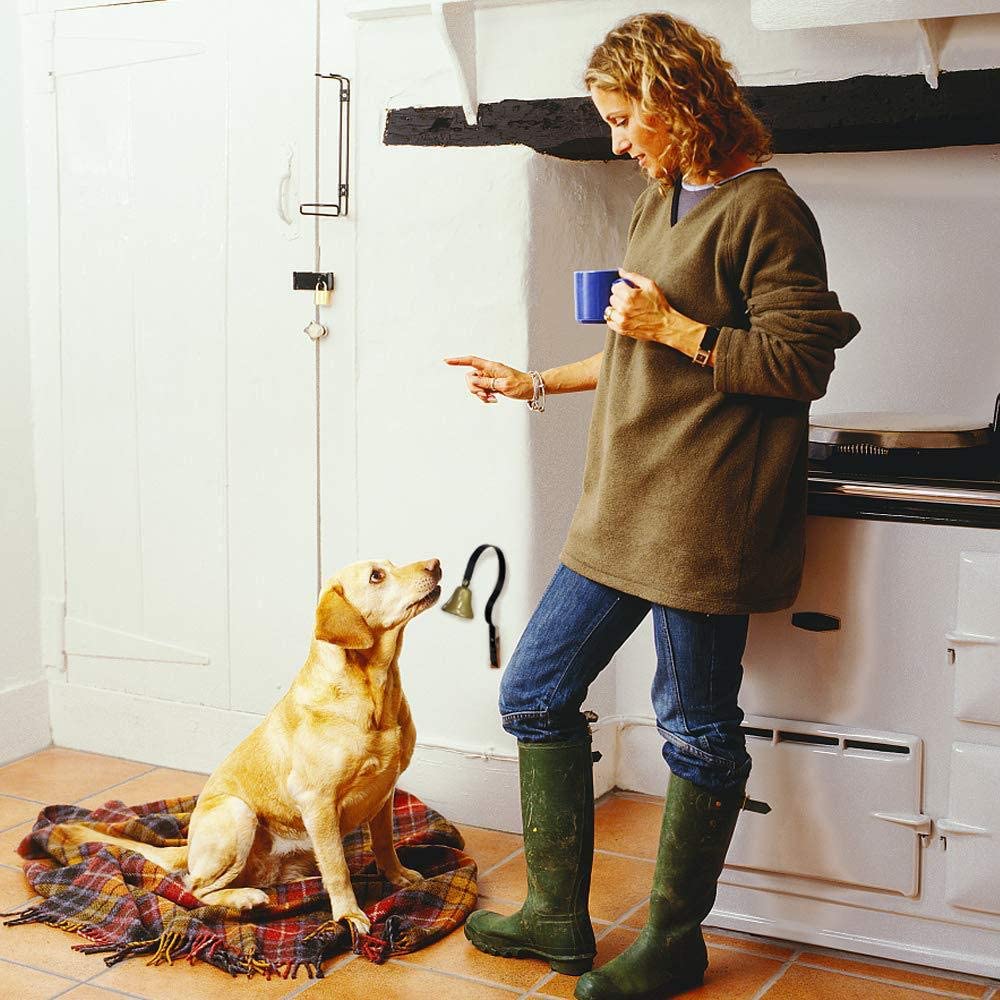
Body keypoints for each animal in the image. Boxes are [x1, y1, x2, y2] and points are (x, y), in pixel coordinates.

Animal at [59, 556, 442, 936]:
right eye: (377, 576)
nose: (436, 563)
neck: (374, 692)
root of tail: (189, 848)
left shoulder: (384, 792)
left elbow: (384, 843)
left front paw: (397, 876)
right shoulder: (316, 800)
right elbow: (338, 868)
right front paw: (348, 915)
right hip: (237, 812)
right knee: (194, 888)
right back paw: (244, 898)